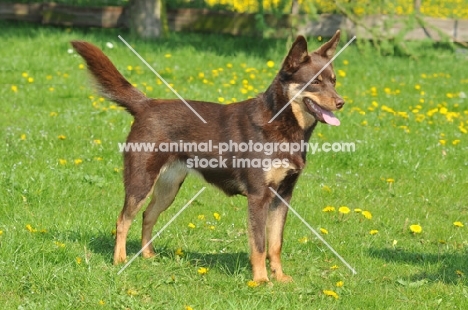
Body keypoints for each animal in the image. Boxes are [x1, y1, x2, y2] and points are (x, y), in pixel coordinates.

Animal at [72, 32, 344, 284]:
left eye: (334, 80)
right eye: (315, 81)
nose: (341, 102)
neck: (282, 124)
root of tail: (147, 105)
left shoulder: (283, 196)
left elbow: (275, 244)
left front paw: (279, 277)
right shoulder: (258, 197)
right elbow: (259, 245)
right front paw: (261, 280)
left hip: (168, 188)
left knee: (147, 216)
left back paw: (147, 256)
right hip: (141, 182)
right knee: (123, 219)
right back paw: (120, 259)